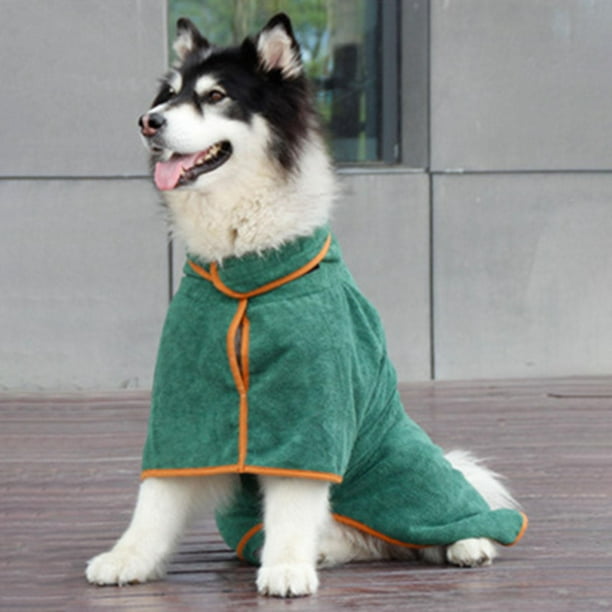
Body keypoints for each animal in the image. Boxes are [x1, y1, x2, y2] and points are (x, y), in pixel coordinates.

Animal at [85, 15, 524, 596]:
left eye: (216, 95)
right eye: (169, 95)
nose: (148, 122)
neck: (244, 271)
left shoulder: (310, 401)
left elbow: (294, 497)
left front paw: (288, 568)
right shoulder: (187, 401)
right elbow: (156, 497)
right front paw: (128, 557)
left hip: (403, 466)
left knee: (446, 513)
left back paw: (467, 542)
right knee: (360, 537)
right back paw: (331, 546)